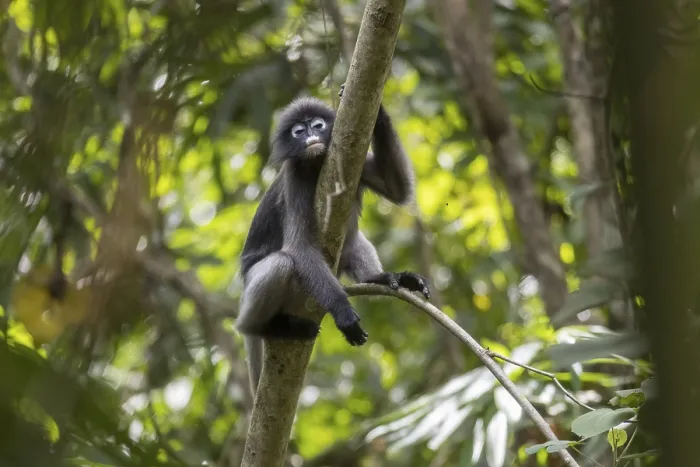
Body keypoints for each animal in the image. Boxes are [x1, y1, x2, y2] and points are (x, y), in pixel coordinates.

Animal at [235, 84, 431, 394]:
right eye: (298, 132)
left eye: (317, 126)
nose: (311, 137)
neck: (316, 166)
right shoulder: (294, 178)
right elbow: (300, 248)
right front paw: (343, 313)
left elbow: (398, 190)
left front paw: (378, 111)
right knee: (281, 263)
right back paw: (262, 328)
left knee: (354, 240)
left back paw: (380, 278)